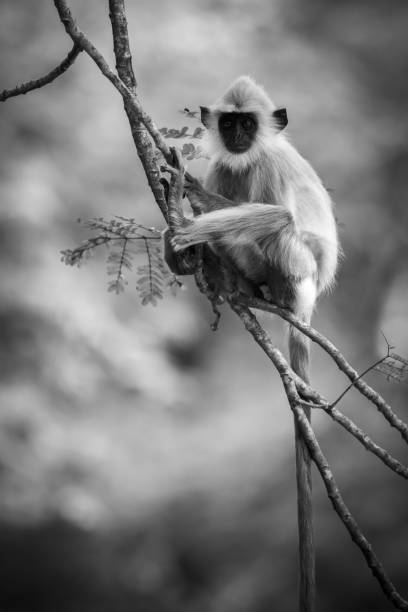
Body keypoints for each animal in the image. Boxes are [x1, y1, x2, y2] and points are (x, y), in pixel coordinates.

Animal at [169, 75, 338, 382]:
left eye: (247, 124)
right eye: (228, 123)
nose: (236, 136)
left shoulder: (270, 163)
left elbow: (280, 213)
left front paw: (185, 221)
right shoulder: (221, 165)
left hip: (301, 274)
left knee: (280, 228)